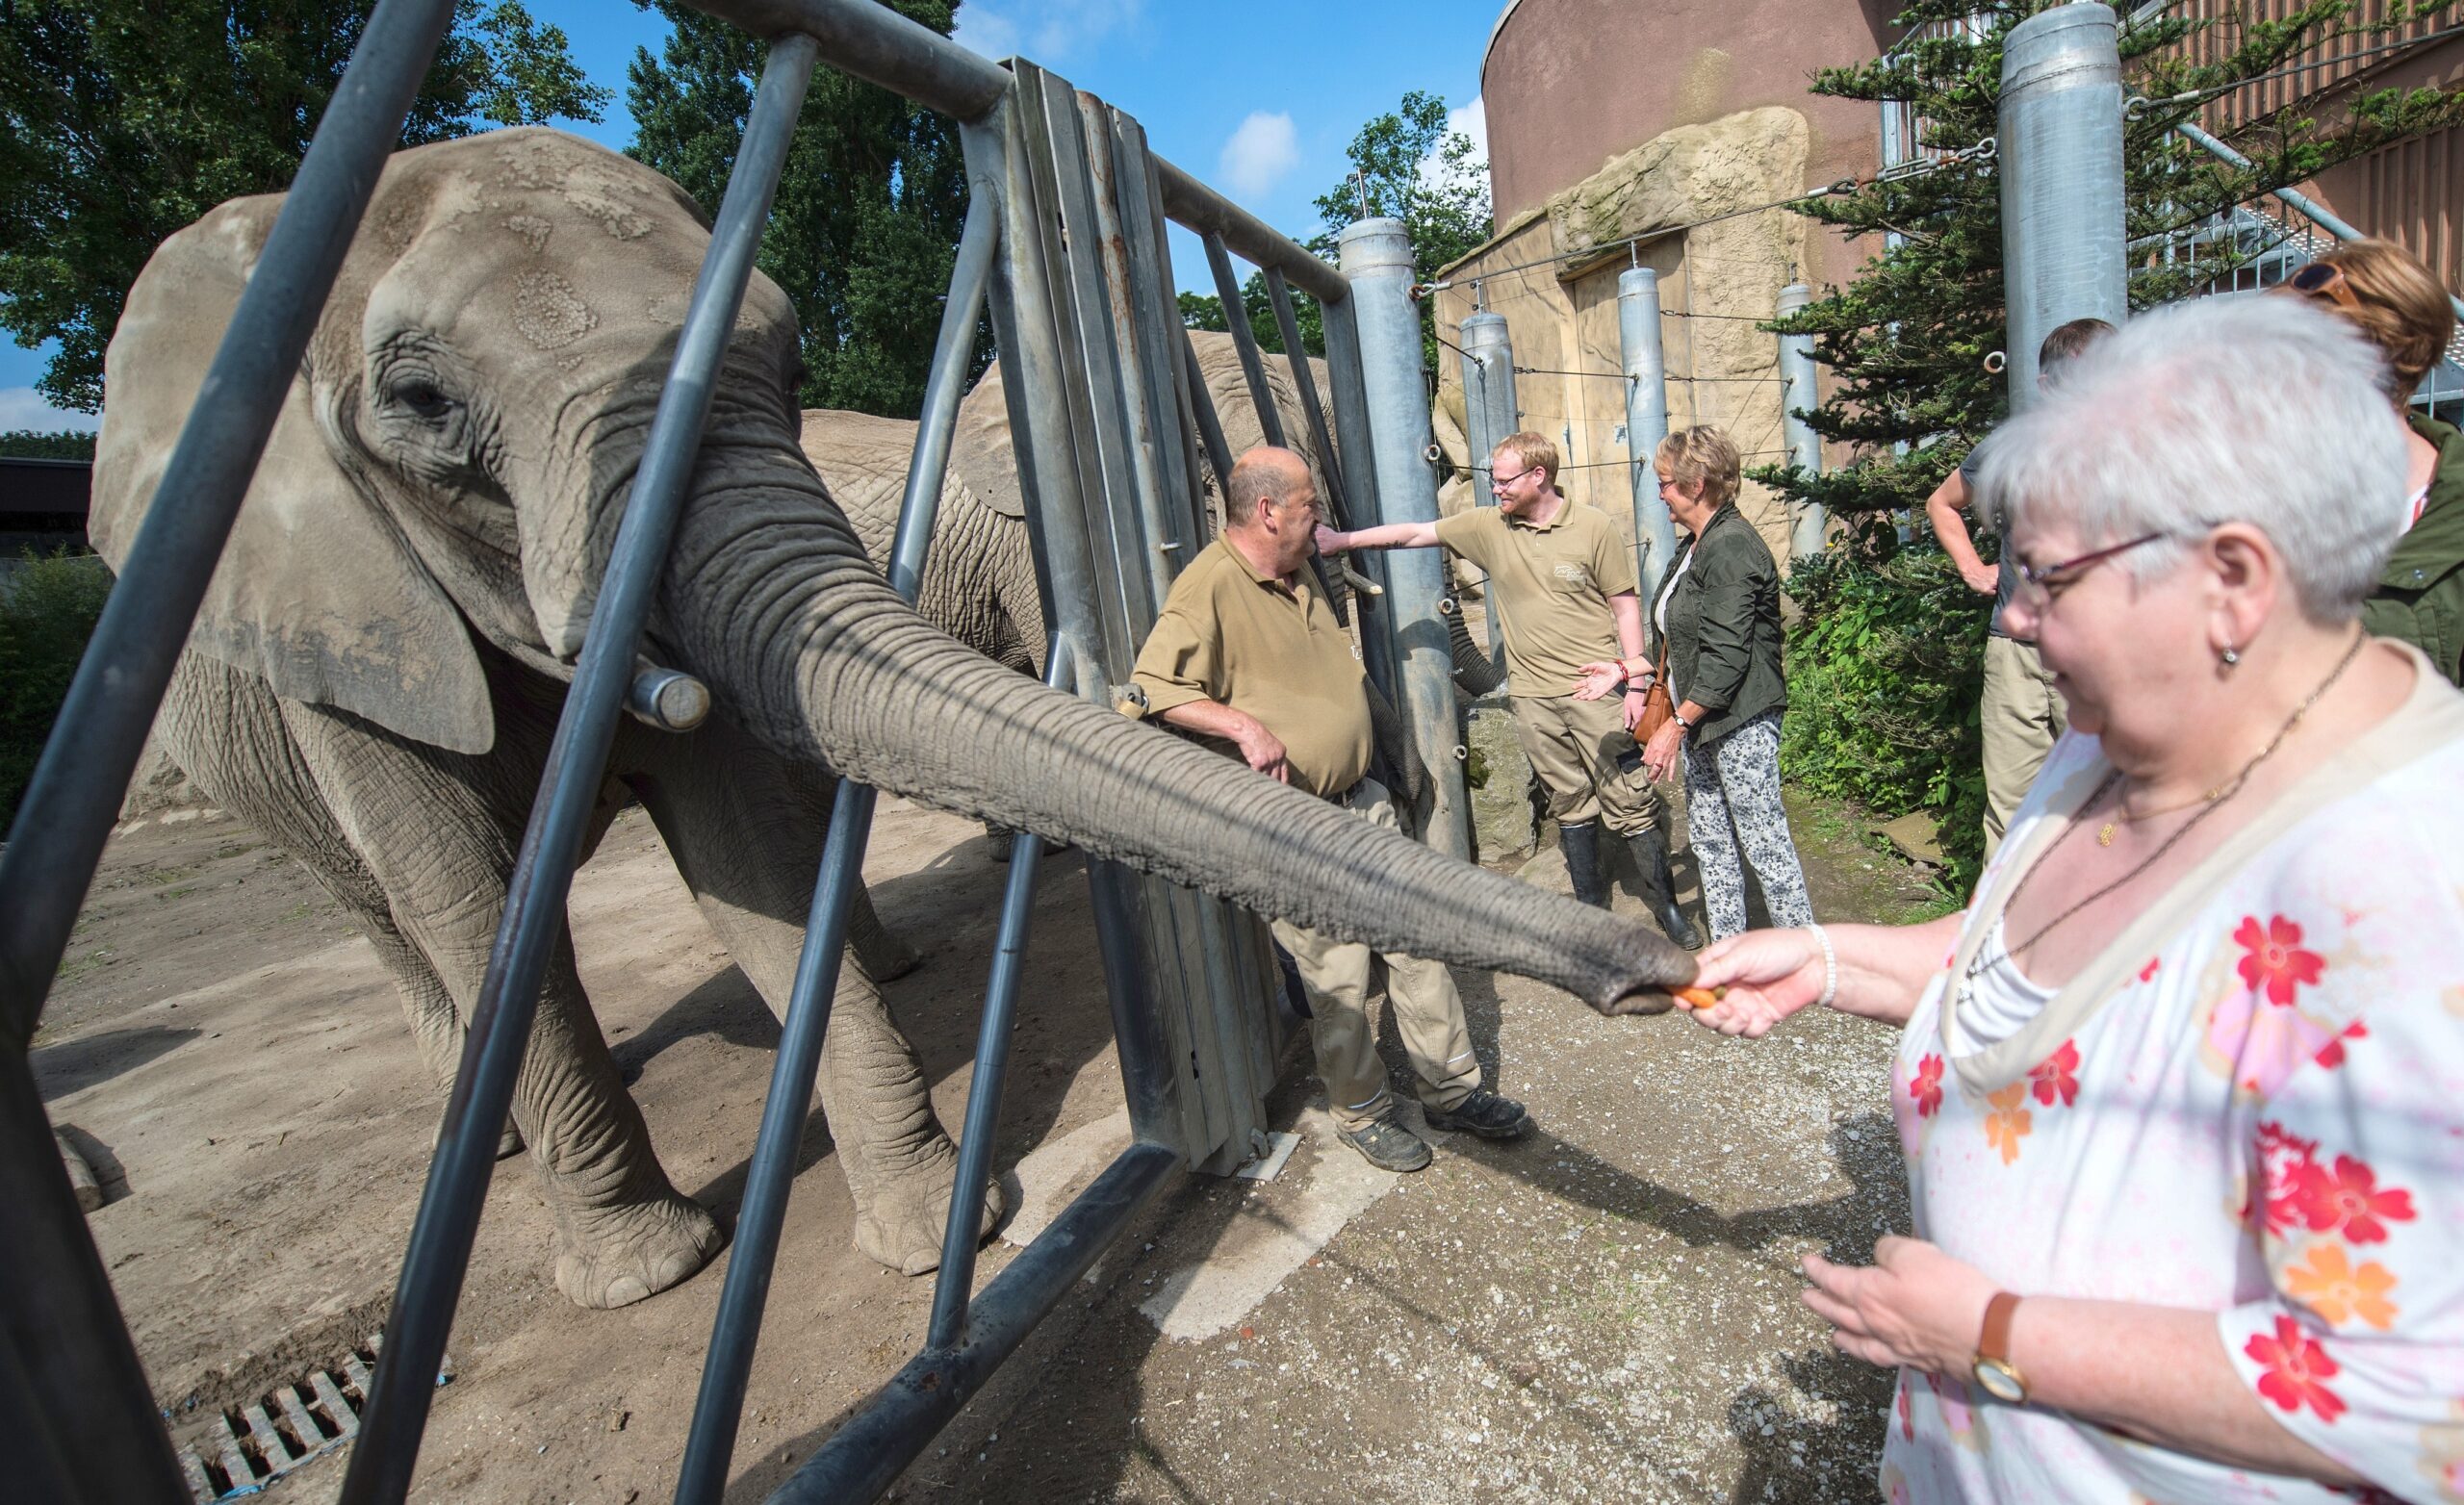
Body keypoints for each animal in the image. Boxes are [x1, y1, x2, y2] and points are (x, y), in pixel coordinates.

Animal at [87, 129, 1685, 1310]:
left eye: (789, 355)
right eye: (415, 402)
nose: (1660, 976)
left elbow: (741, 845)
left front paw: (945, 1237)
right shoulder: (341, 608)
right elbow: (470, 899)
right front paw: (654, 1280)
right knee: (385, 908)